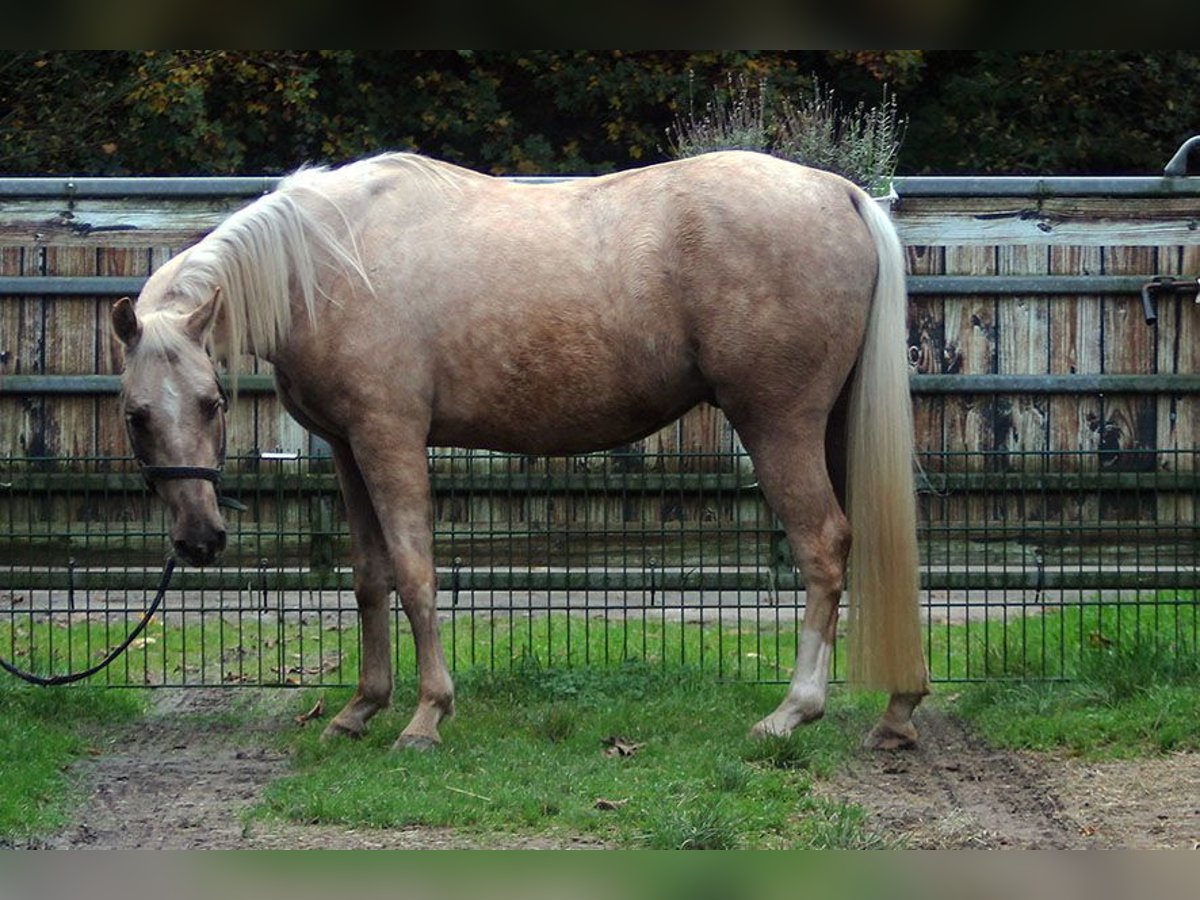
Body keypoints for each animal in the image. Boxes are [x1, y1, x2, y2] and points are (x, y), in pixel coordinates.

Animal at [112, 150, 931, 753]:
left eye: (212, 404)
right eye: (136, 417)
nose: (200, 540)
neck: (331, 258)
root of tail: (839, 192)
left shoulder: (388, 437)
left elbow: (414, 572)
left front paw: (426, 716)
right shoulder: (347, 447)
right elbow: (370, 578)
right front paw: (360, 709)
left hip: (779, 425)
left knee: (823, 546)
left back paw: (793, 712)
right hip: (830, 426)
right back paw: (897, 710)